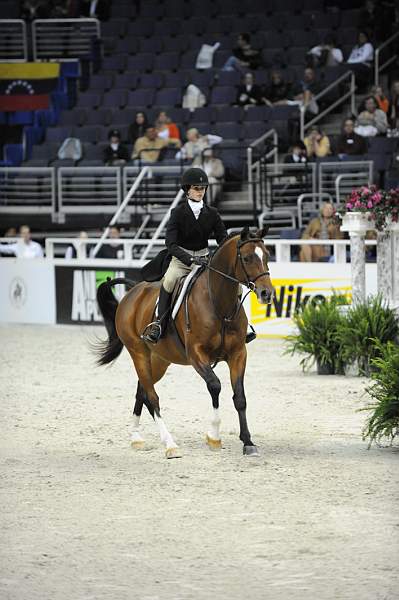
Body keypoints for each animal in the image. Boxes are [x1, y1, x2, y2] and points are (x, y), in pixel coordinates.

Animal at [94, 226, 276, 460]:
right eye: (246, 258)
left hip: (159, 360)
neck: (219, 304)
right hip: (138, 353)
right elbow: (215, 386)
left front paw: (248, 442)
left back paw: (136, 437)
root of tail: (132, 292)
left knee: (141, 390)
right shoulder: (197, 355)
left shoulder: (238, 354)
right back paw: (169, 444)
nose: (267, 294)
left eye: (267, 255)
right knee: (152, 396)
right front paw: (214, 436)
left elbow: (240, 397)